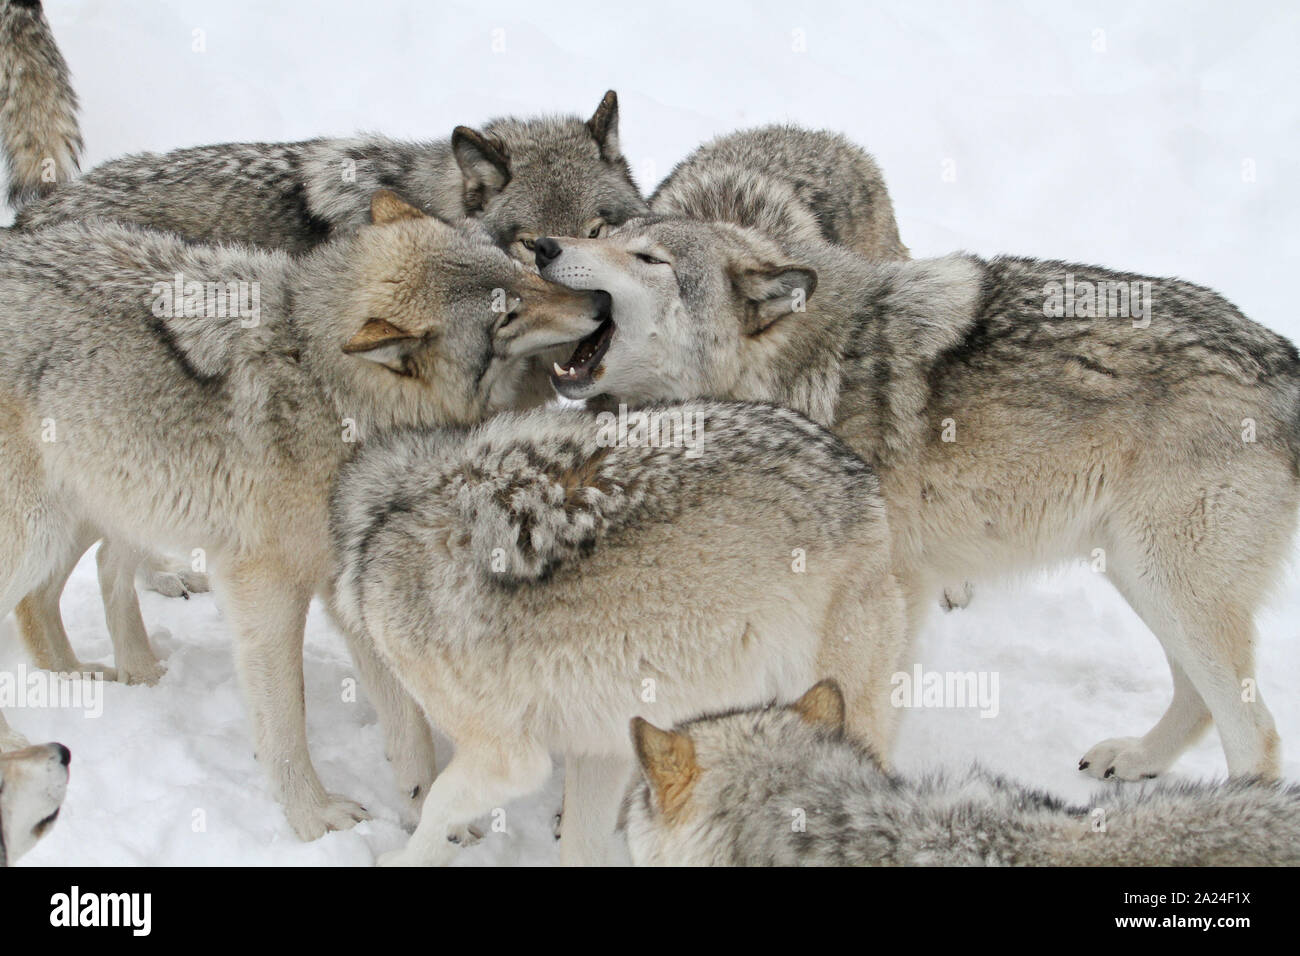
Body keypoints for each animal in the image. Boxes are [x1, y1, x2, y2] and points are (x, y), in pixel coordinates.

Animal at [0, 191, 608, 842]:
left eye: (518, 270)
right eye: (506, 319)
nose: (601, 303)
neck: (326, 383)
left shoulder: (348, 588)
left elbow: (409, 727)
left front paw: (429, 812)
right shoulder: (263, 587)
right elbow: (286, 718)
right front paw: (314, 820)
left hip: (103, 500)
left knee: (79, 580)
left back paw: (105, 679)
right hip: (41, 527)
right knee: (44, 595)